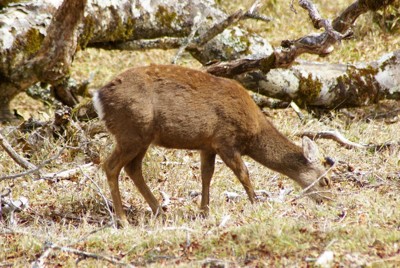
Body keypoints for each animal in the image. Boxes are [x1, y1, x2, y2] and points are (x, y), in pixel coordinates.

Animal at [92, 64, 332, 226]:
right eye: (326, 180)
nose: (328, 201)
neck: (253, 133)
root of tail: (98, 97)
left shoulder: (207, 145)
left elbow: (206, 174)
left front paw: (204, 211)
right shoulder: (225, 140)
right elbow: (243, 173)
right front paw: (256, 204)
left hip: (142, 137)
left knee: (133, 168)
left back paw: (160, 211)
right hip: (132, 132)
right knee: (111, 166)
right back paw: (123, 219)